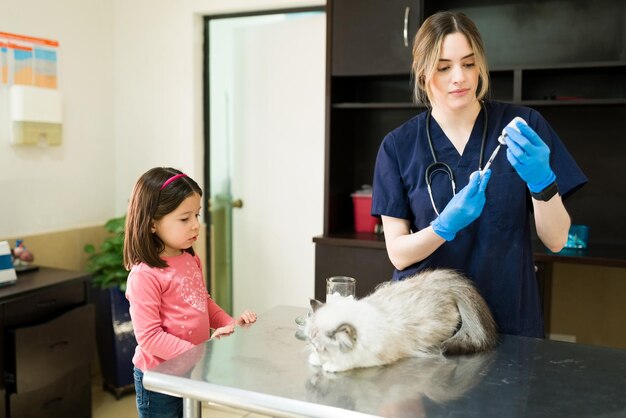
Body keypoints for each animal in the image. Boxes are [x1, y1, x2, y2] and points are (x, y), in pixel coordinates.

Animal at [304, 270, 498, 374]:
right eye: (312, 342)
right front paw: (316, 360)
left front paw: (330, 365)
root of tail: (442, 282)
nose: (314, 347)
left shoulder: (374, 357)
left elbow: (349, 361)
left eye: (322, 346)